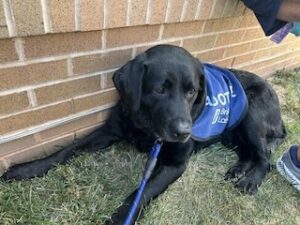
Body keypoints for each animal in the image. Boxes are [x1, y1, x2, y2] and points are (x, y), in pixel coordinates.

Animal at [0, 44, 286, 224]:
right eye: (160, 89)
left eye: (192, 91)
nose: (184, 132)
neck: (146, 126)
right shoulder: (108, 131)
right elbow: (66, 150)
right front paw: (27, 169)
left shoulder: (175, 164)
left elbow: (141, 193)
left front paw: (119, 219)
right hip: (233, 135)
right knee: (250, 152)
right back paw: (238, 170)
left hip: (251, 113)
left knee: (265, 159)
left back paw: (250, 180)